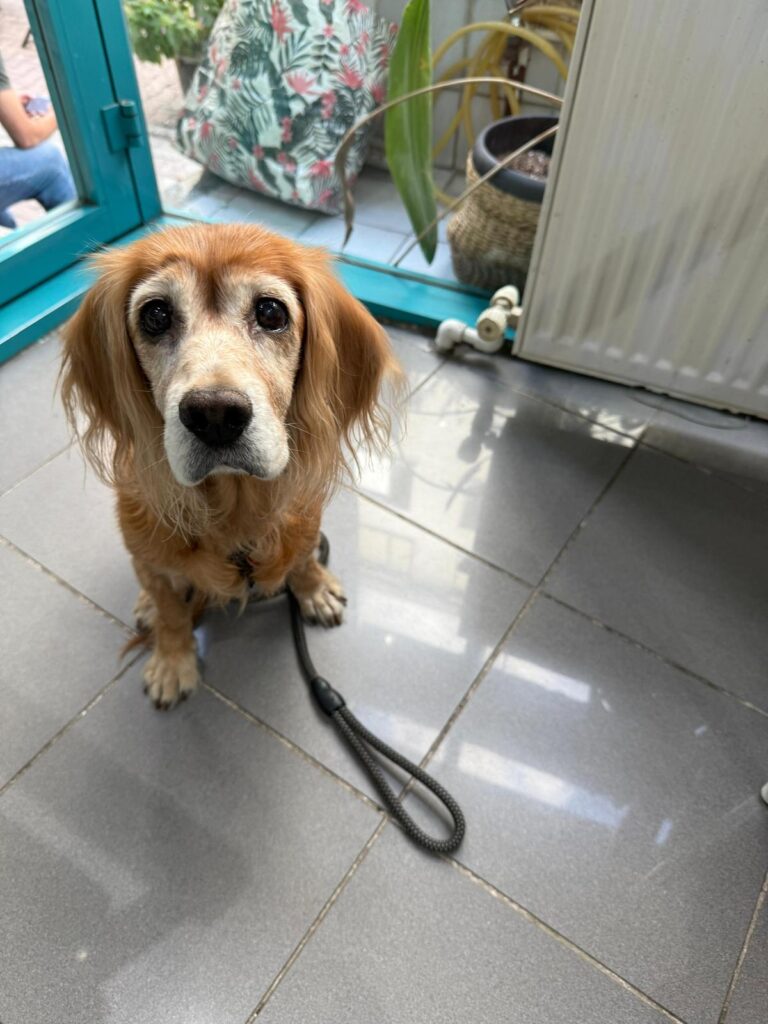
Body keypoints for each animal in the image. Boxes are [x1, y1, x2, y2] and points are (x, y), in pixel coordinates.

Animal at [61, 223, 401, 708]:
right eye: (156, 315)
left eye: (271, 312)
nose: (215, 414)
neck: (233, 506)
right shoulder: (153, 555)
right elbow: (170, 610)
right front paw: (173, 660)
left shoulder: (305, 522)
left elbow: (302, 558)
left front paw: (314, 588)